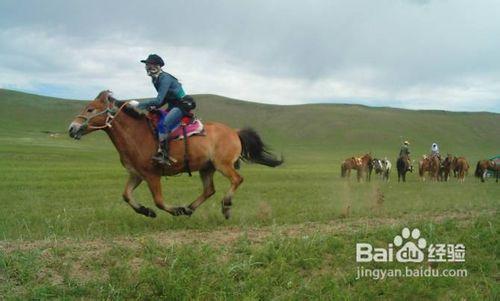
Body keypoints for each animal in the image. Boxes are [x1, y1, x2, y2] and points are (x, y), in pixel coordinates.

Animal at [68, 89, 284, 218]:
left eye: (90, 109)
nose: (72, 128)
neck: (136, 134)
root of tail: (234, 131)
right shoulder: (137, 174)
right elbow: (126, 195)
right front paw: (146, 211)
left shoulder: (152, 175)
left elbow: (159, 201)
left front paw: (175, 210)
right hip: (206, 167)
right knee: (209, 190)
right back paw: (190, 208)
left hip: (223, 165)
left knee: (237, 179)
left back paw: (225, 206)